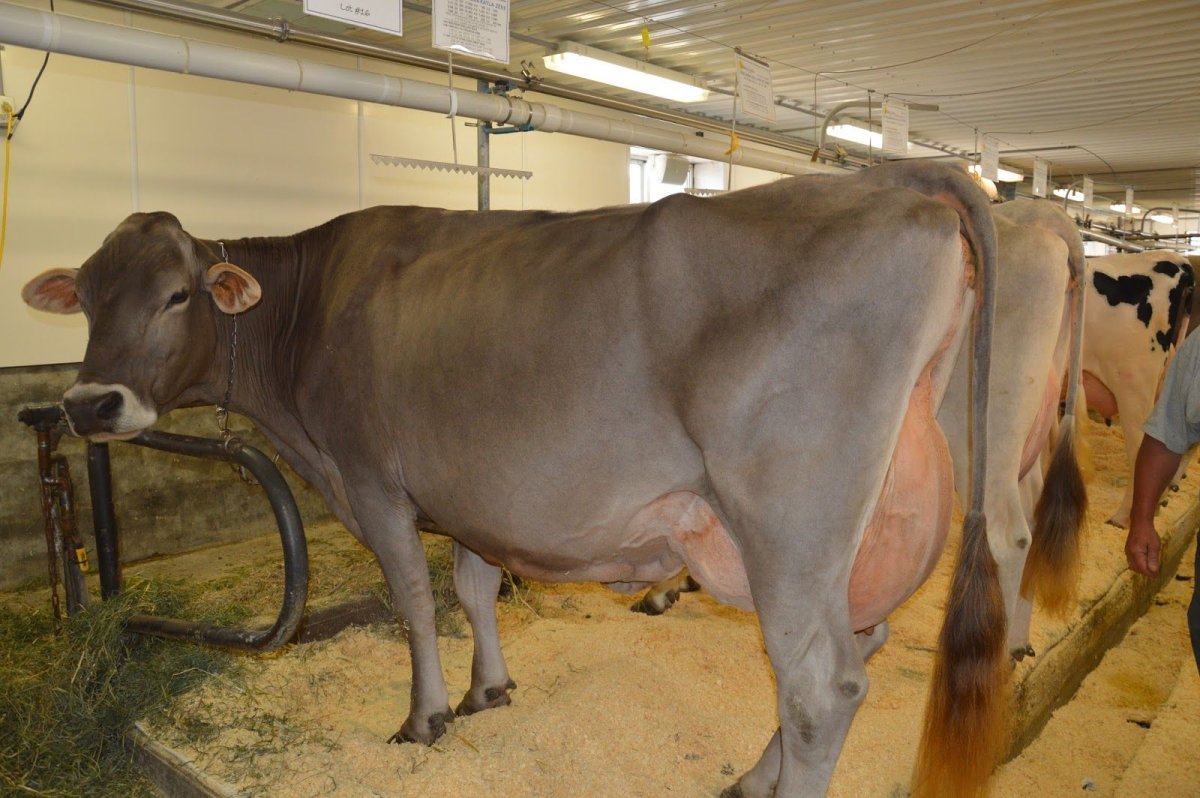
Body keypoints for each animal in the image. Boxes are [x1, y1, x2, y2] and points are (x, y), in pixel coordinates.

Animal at [22, 160, 999, 798]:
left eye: (177, 296)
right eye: (90, 296)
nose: (90, 403)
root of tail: (895, 183)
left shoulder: (371, 481)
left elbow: (416, 601)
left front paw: (424, 718)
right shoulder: (472, 497)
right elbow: (473, 584)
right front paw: (488, 689)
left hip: (787, 524)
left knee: (820, 685)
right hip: (870, 528)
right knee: (858, 645)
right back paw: (754, 777)